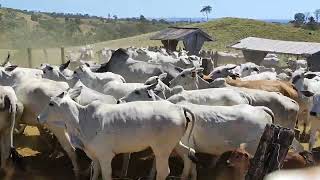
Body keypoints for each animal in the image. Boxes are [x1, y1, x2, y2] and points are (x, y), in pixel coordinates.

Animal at [37, 93, 195, 180]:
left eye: (51, 103)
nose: (38, 117)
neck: (82, 119)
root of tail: (178, 107)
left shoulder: (105, 156)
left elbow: (106, 174)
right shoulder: (94, 155)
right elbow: (95, 172)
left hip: (162, 149)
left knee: (164, 171)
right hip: (175, 144)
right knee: (190, 153)